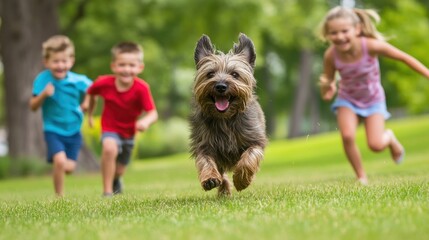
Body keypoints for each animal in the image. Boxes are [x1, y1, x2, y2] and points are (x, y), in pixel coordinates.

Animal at [190, 32, 266, 196]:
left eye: (235, 74)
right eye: (210, 74)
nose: (220, 86)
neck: (225, 118)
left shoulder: (255, 140)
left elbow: (249, 157)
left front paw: (241, 180)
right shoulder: (204, 144)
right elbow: (206, 161)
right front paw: (210, 178)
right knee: (222, 172)